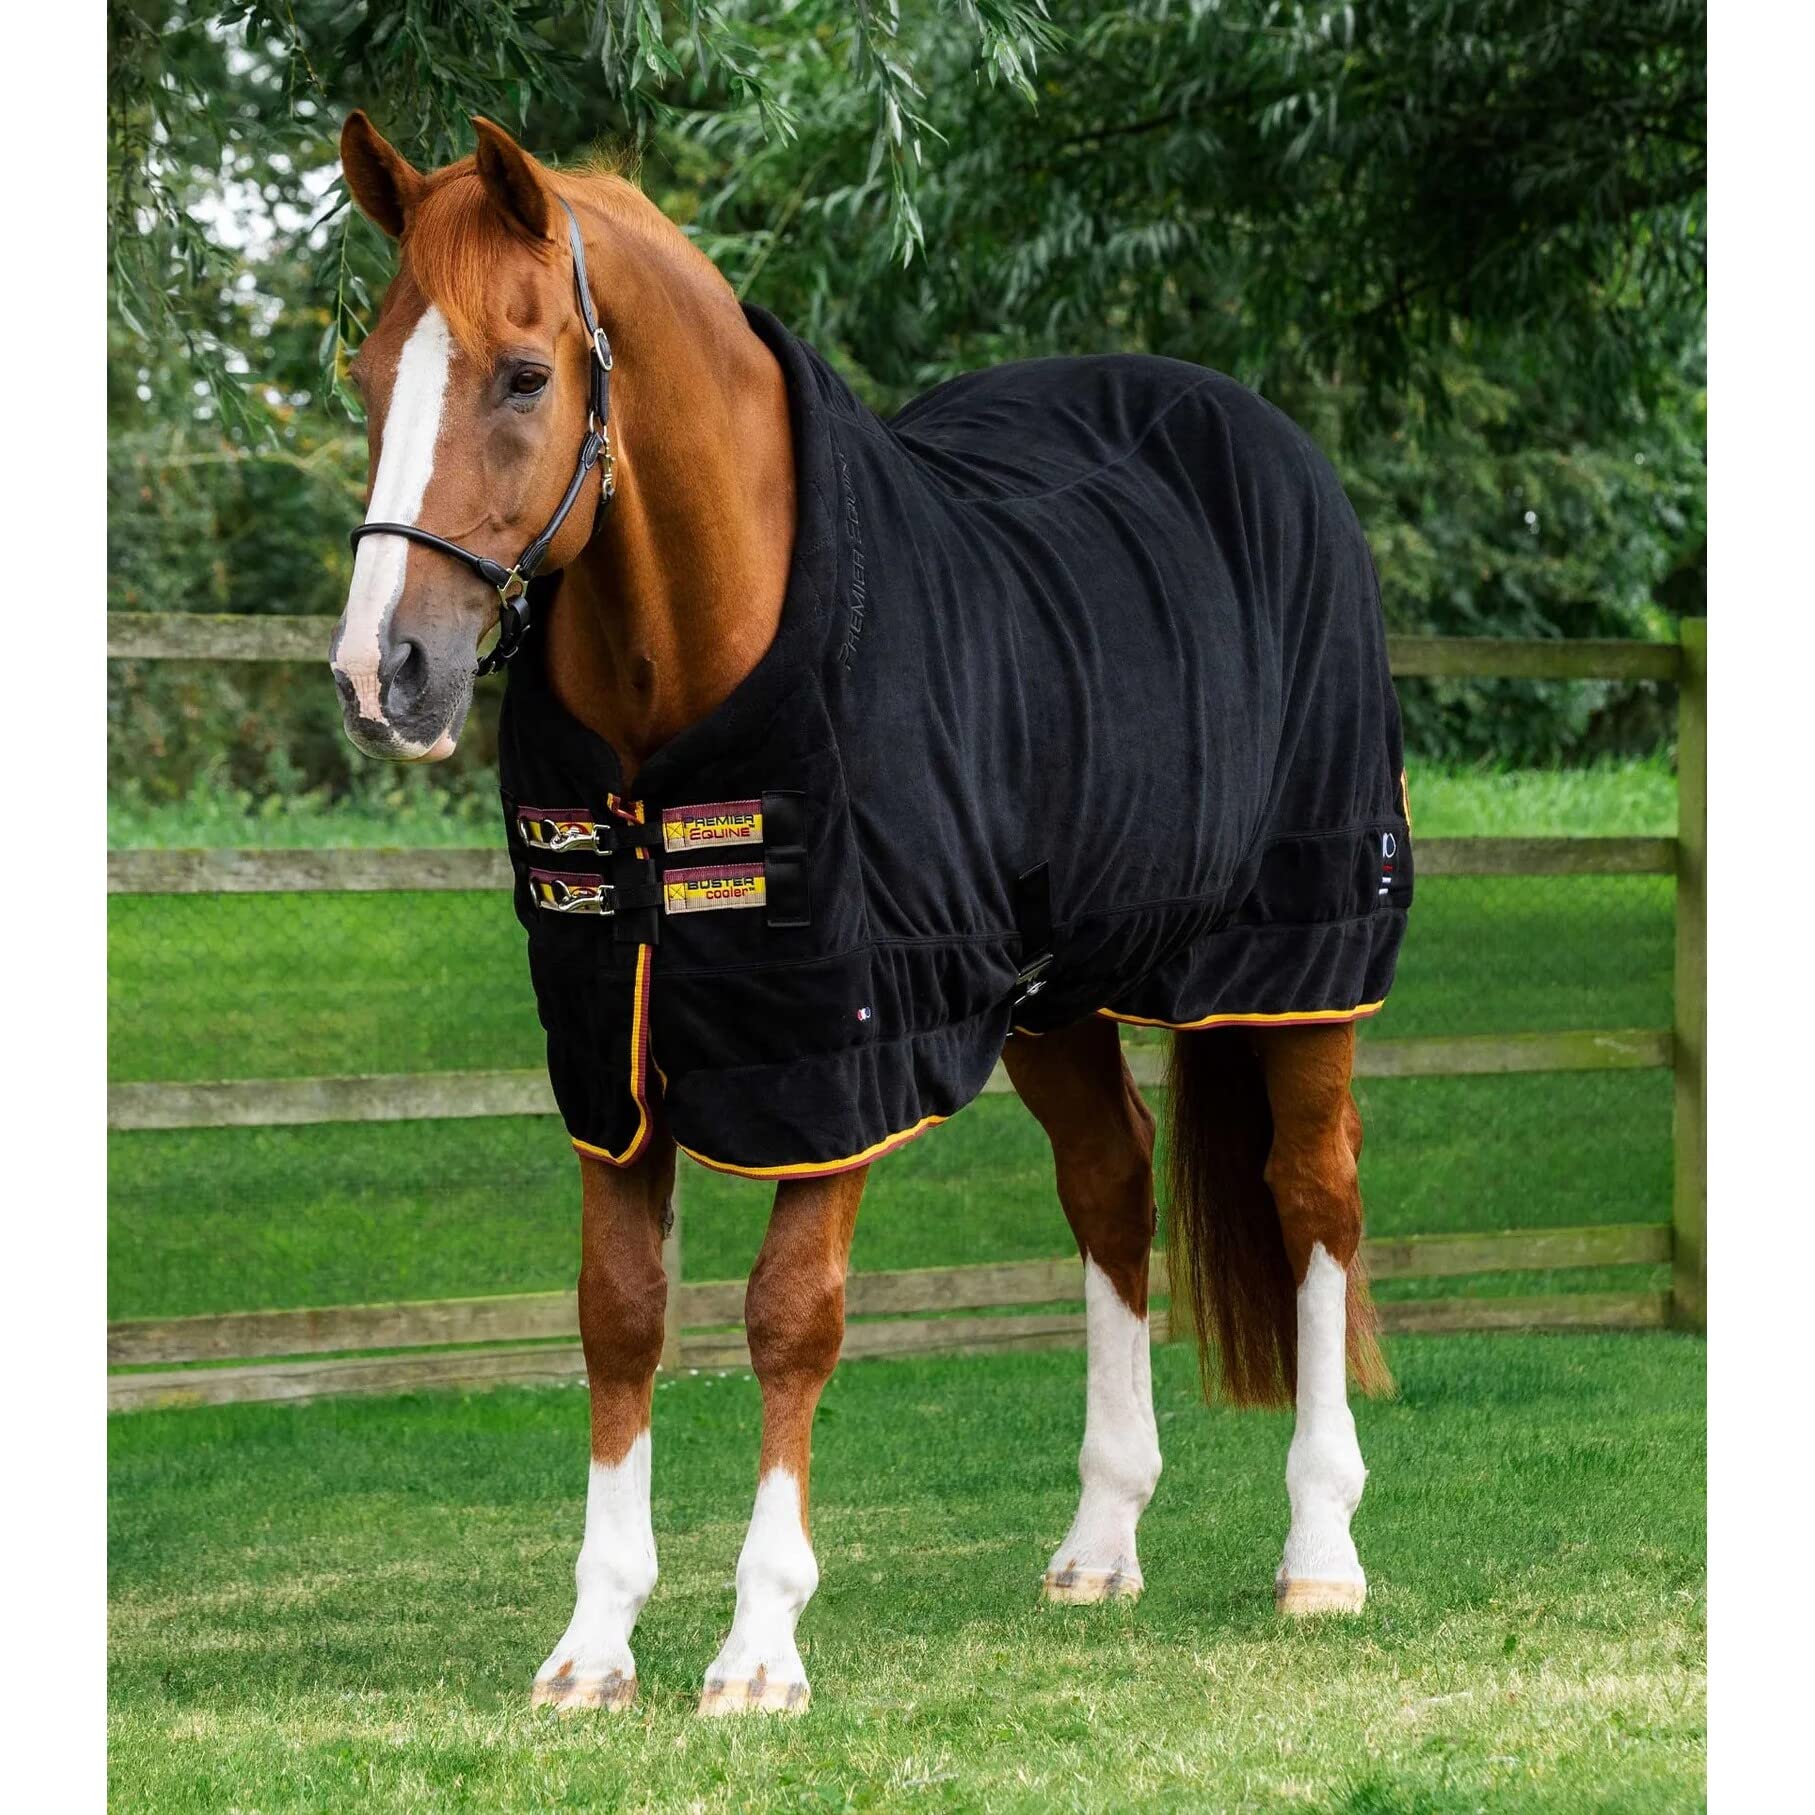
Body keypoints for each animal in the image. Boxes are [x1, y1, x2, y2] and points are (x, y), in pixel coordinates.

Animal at [328, 112, 1406, 1716]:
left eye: (523, 373)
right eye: (366, 371)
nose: (380, 671)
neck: (689, 687)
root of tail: (1261, 440)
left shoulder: (840, 1043)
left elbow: (791, 1311)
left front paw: (758, 1647)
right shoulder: (611, 1050)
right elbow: (618, 1310)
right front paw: (593, 1643)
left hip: (1302, 953)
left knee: (1313, 1196)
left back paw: (1320, 1552)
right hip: (1052, 992)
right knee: (1112, 1184)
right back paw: (1101, 1539)